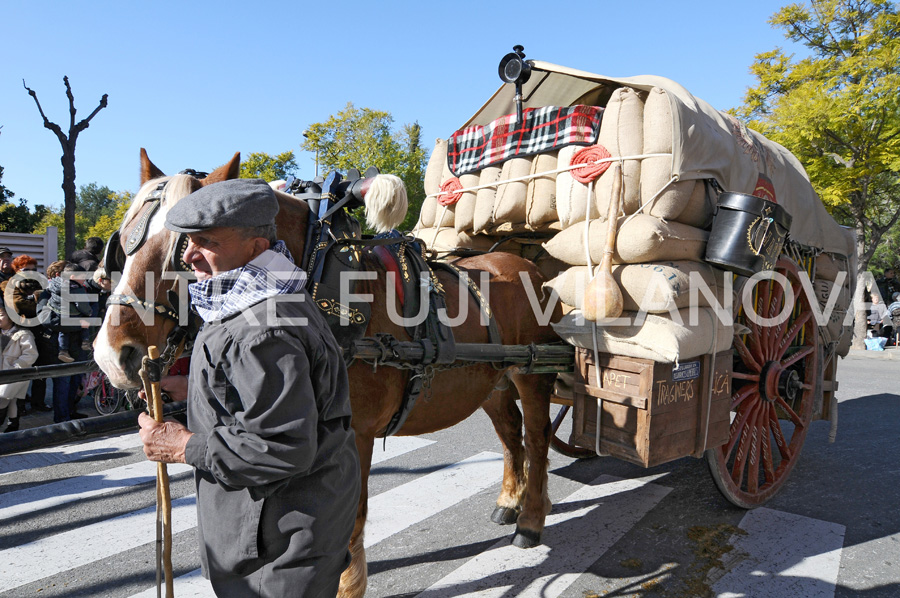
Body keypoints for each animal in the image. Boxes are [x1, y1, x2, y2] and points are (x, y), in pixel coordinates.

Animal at [96, 151, 564, 598]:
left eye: (184, 250)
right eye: (123, 245)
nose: (111, 356)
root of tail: (525, 265)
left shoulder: (355, 433)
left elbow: (350, 516)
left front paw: (347, 583)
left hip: (533, 372)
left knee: (538, 437)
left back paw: (531, 519)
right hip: (492, 381)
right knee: (511, 434)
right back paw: (509, 502)